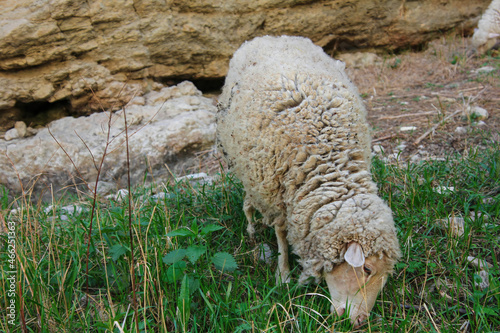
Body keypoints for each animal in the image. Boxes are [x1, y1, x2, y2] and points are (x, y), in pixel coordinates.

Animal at [217, 35, 400, 326]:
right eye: (367, 268)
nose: (361, 321)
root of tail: (269, 37)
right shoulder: (276, 196)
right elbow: (281, 237)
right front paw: (283, 276)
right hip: (249, 171)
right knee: (248, 202)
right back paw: (252, 229)